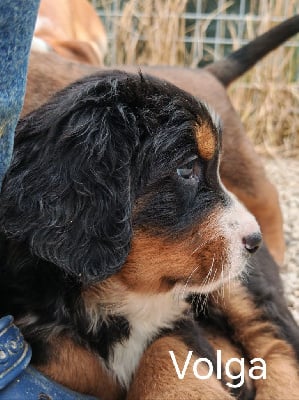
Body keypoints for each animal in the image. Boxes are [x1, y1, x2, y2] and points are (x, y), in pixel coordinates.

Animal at [0, 72, 299, 400]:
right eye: (186, 168)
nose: (255, 239)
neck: (123, 295)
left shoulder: (179, 322)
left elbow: (167, 350)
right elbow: (69, 358)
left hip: (238, 286)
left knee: (275, 341)